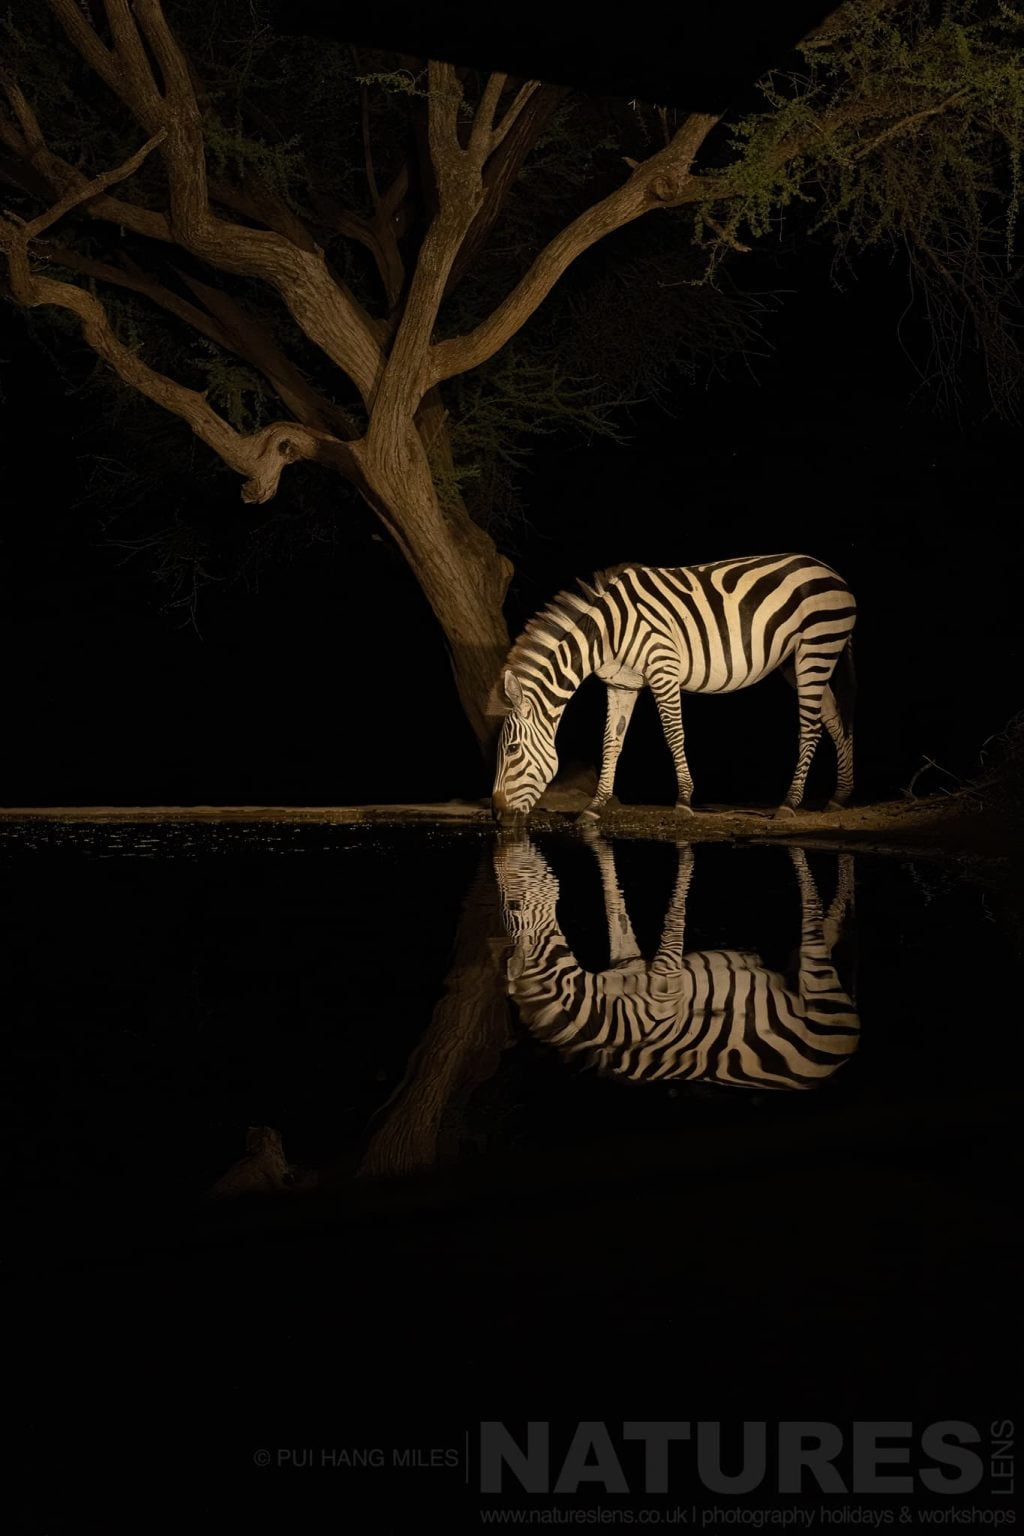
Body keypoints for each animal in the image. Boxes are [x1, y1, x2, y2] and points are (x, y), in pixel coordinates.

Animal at [491, 553, 856, 823]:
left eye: (512, 750)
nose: (497, 815)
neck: (605, 633)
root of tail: (835, 574)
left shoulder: (662, 668)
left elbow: (673, 734)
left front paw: (683, 799)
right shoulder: (621, 684)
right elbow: (611, 743)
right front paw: (594, 807)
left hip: (815, 647)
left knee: (811, 727)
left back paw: (790, 803)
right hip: (798, 660)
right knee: (835, 720)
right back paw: (840, 796)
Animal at [494, 830, 859, 1093]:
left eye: (513, 905)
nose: (507, 858)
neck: (604, 1012)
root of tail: (839, 1062)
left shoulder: (664, 988)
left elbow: (670, 918)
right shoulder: (646, 976)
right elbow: (619, 912)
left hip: (817, 985)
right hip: (801, 975)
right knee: (819, 936)